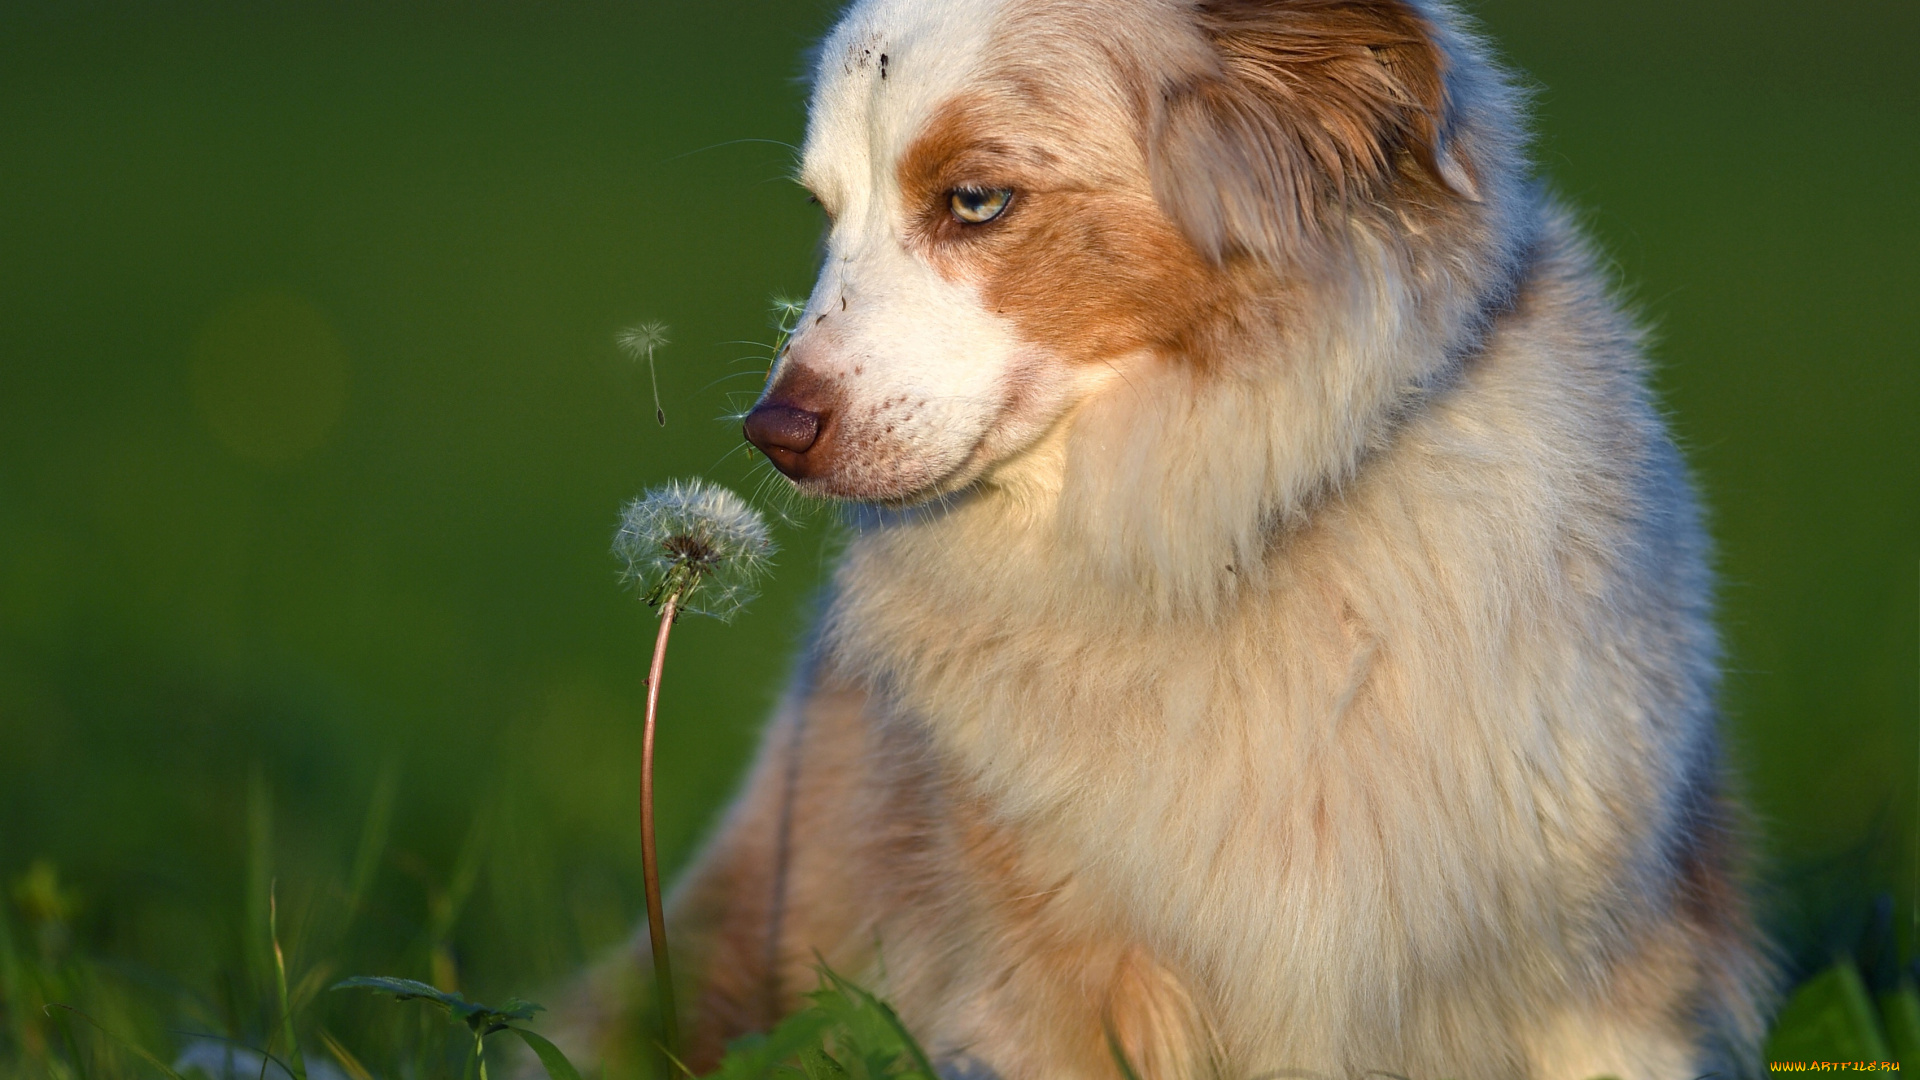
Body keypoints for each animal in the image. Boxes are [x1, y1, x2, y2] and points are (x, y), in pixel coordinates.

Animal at [560, 2, 1758, 1076]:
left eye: (975, 200)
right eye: (825, 214)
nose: (770, 432)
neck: (1219, 534)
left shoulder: (1606, 977)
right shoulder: (1054, 983)